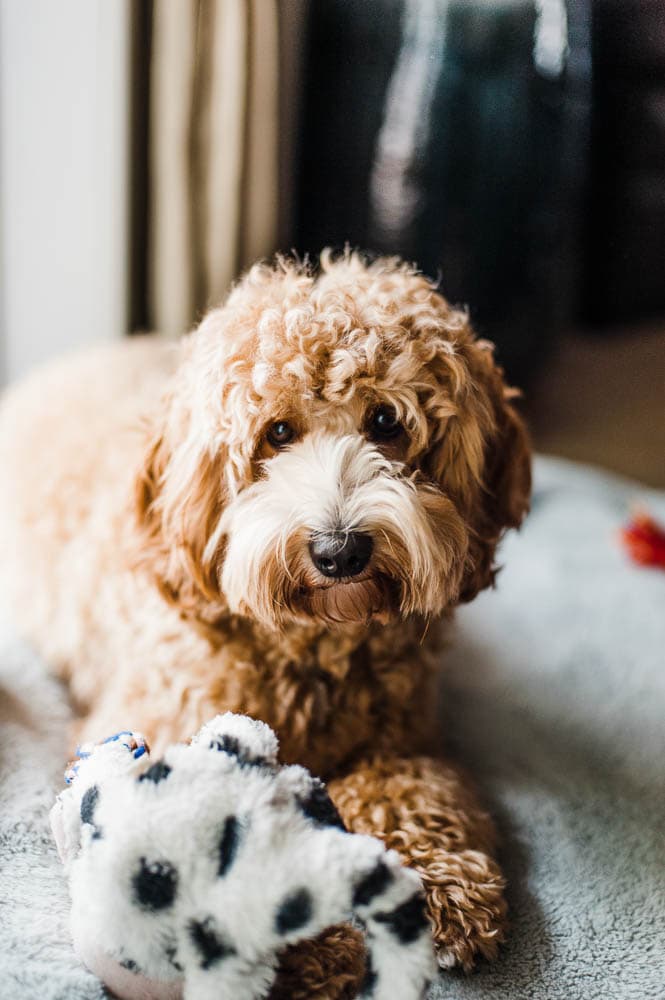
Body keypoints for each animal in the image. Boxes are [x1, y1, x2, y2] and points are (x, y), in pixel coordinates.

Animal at [0, 254, 528, 996]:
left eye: (386, 420)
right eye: (277, 432)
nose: (340, 551)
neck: (313, 647)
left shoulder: (406, 738)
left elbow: (413, 787)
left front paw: (445, 885)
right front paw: (301, 949)